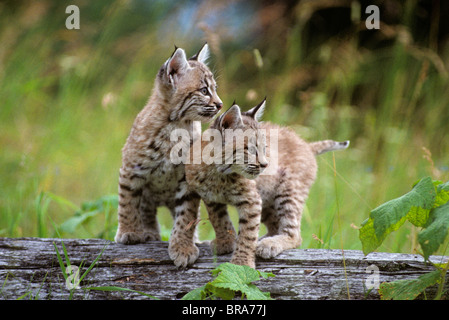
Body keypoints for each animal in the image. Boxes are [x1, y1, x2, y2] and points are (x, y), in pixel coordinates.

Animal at [114, 44, 222, 245]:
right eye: (204, 91)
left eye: (215, 89)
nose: (220, 104)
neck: (177, 124)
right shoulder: (131, 169)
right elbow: (127, 203)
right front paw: (128, 231)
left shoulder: (188, 177)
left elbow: (187, 213)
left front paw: (184, 244)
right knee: (145, 209)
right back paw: (149, 233)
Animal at [168, 100, 266, 268]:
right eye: (251, 149)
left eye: (265, 148)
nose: (266, 165)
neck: (218, 172)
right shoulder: (209, 196)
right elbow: (218, 218)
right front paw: (226, 241)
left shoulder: (252, 199)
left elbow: (248, 233)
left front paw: (241, 263)